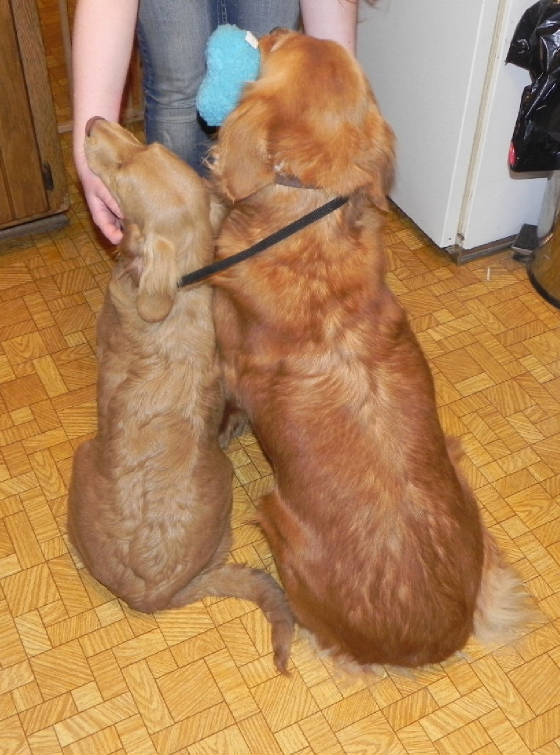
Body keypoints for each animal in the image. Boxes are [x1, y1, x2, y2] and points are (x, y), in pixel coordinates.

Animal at [68, 121, 294, 672]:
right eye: (146, 144)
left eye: (122, 171)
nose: (91, 124)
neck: (181, 284)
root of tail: (159, 595)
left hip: (83, 459)